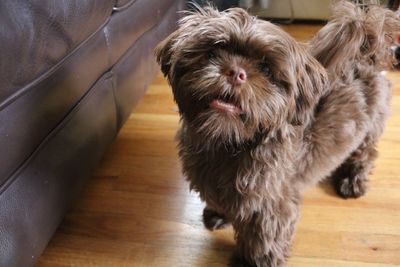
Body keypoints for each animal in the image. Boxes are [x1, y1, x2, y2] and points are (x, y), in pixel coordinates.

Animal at [155, 2, 396, 267]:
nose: (236, 73)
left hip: (369, 127)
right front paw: (218, 214)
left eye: (266, 68)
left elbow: (262, 243)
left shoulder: (270, 208)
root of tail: (366, 54)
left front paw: (250, 263)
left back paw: (352, 179)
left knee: (365, 154)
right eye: (212, 52)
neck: (230, 144)